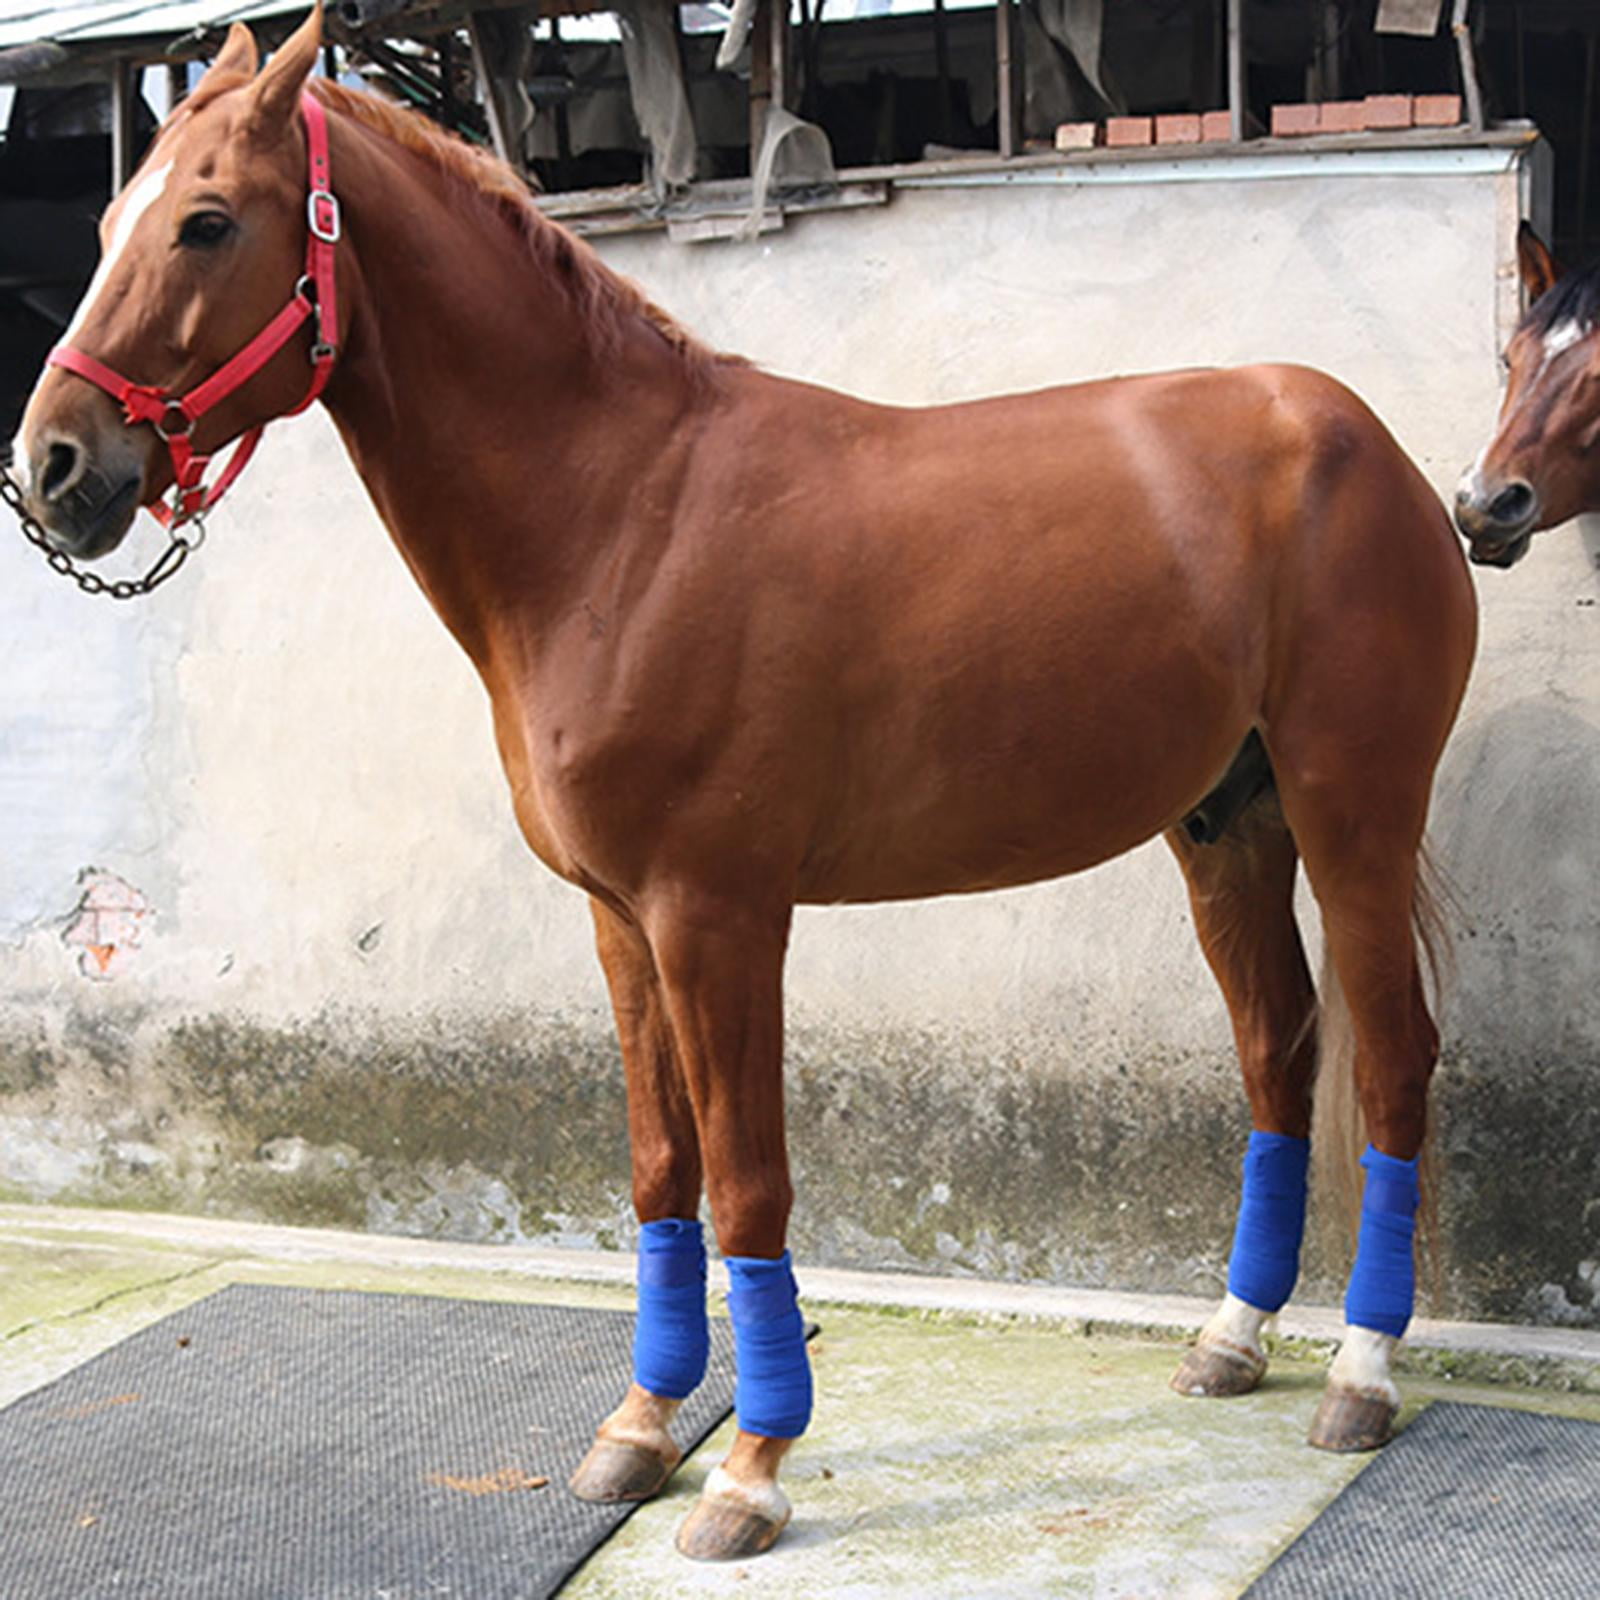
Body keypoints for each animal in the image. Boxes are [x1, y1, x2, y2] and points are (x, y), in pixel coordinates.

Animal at [8, 4, 1477, 1563]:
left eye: (208, 222)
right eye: (106, 221)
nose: (52, 467)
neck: (622, 517)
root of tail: (1365, 441)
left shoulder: (719, 915)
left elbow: (747, 1179)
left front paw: (750, 1469)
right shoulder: (620, 919)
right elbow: (663, 1171)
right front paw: (641, 1430)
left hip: (1352, 813)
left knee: (1392, 1059)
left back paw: (1363, 1377)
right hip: (1223, 824)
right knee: (1279, 1051)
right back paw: (1234, 1338)